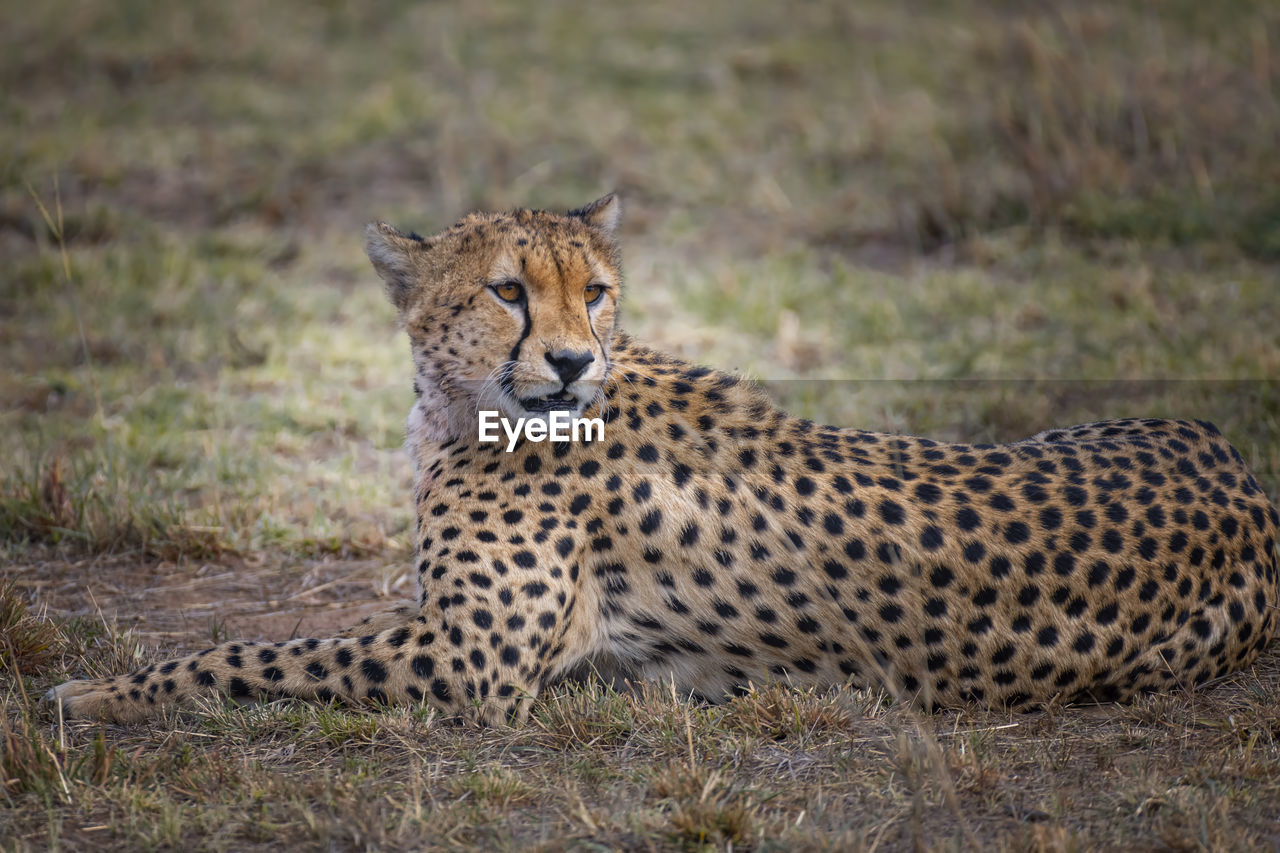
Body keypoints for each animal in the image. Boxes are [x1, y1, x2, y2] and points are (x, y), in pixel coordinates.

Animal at [49, 195, 1280, 722]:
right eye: (506, 290)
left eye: (593, 288)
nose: (569, 360)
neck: (468, 407)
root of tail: (1231, 466)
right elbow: (270, 644)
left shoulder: (469, 660)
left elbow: (244, 655)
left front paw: (95, 686)